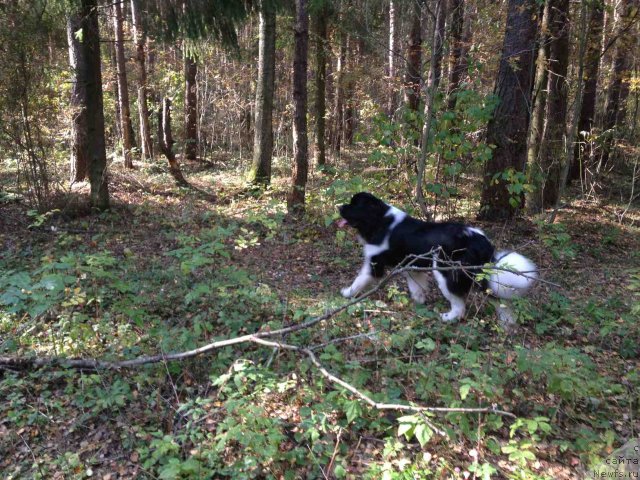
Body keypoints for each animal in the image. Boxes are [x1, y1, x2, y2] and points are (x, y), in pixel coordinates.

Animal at [338, 193, 536, 324]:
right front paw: (418, 304)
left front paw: (347, 294)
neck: (379, 221)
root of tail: (480, 240)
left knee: (459, 304)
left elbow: (360, 280)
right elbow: (416, 289)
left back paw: (448, 317)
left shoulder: (374, 262)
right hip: (479, 274)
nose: (338, 206)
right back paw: (507, 324)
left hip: (447, 272)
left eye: (354, 205)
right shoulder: (412, 268)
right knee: (497, 299)